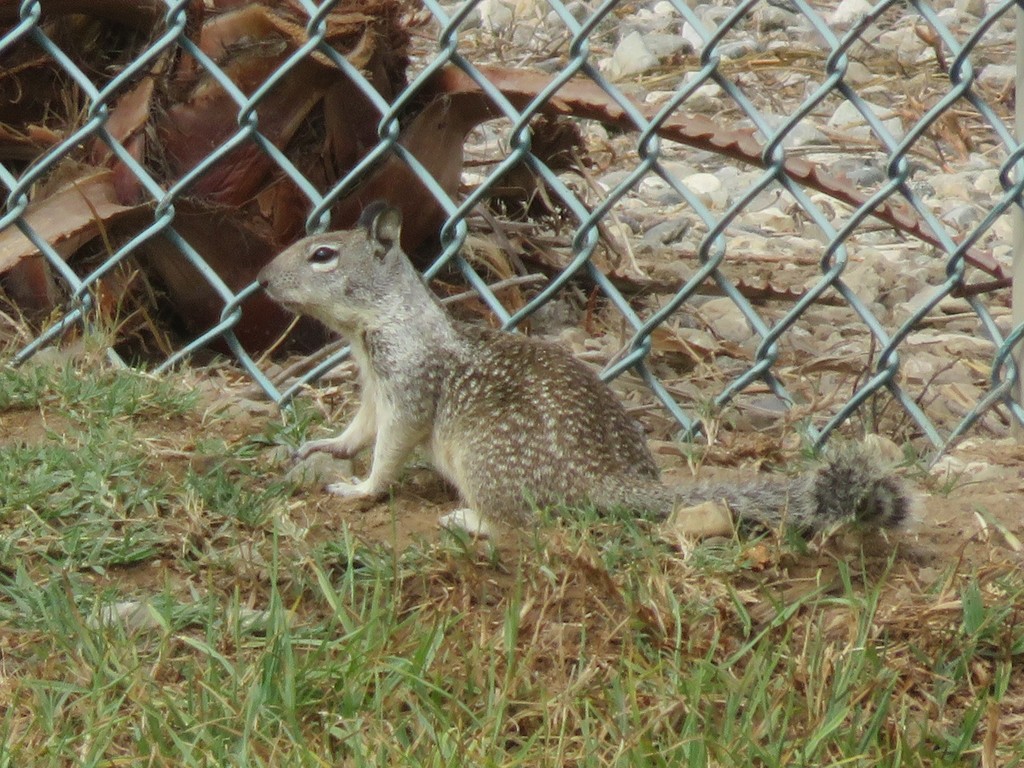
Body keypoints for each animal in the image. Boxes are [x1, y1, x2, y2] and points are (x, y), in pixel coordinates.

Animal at [256, 204, 913, 540]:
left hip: (484, 461)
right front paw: (326, 447)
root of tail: (604, 481)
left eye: (322, 255)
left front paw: (362, 488)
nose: (260, 279)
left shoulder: (407, 384)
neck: (378, 324)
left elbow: (391, 445)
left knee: (515, 523)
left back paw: (467, 518)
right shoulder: (375, 383)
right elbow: (359, 430)